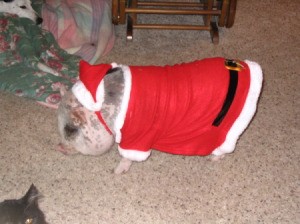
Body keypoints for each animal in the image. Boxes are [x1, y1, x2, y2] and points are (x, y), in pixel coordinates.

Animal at [56, 57, 262, 173]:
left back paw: (213, 158)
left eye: (70, 129)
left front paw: (116, 171)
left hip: (229, 123)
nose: (59, 147)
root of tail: (245, 66)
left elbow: (127, 155)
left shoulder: (137, 135)